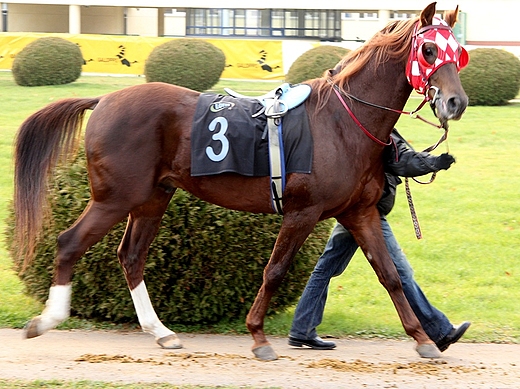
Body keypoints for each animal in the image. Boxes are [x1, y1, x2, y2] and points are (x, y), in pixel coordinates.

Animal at [13, 3, 468, 360]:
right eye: (429, 49)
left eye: (459, 53)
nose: (456, 102)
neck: (343, 120)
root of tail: (105, 99)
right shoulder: (303, 211)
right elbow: (275, 270)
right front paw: (258, 337)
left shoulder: (359, 212)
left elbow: (390, 273)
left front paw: (424, 339)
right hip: (115, 197)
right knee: (69, 243)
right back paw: (47, 320)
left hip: (153, 197)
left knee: (131, 256)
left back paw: (161, 332)